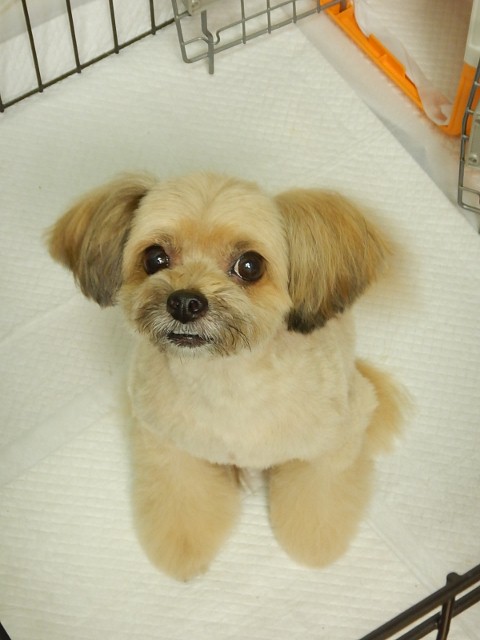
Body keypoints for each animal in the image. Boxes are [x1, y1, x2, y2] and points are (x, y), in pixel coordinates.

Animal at [48, 172, 406, 581]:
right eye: (154, 257)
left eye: (249, 266)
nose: (185, 302)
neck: (226, 380)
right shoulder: (166, 444)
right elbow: (180, 496)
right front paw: (184, 548)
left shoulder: (333, 443)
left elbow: (319, 494)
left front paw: (314, 543)